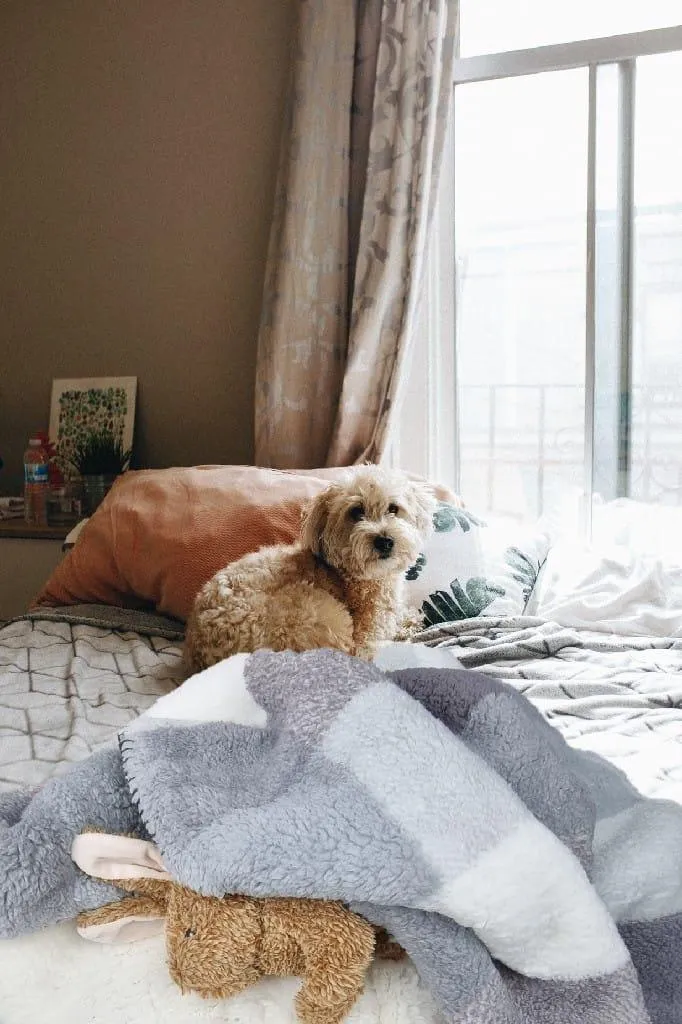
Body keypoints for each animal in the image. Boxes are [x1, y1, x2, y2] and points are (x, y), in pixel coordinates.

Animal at [183, 466, 432, 671]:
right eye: (356, 511)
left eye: (393, 508)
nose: (384, 541)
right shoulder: (368, 633)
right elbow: (377, 639)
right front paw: (408, 626)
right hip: (327, 616)